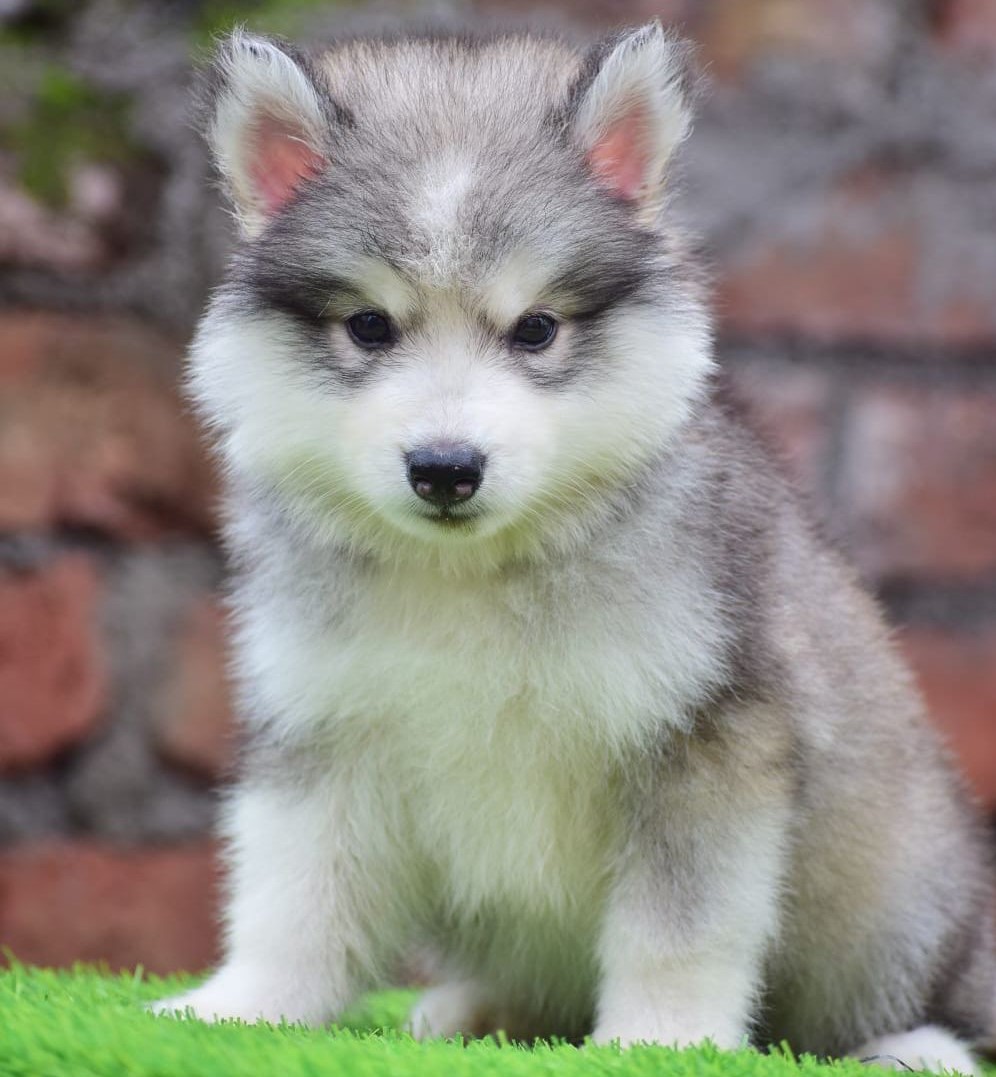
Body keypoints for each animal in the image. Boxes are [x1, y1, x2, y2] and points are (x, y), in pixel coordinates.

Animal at [151, 21, 990, 1072]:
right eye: (370, 326)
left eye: (537, 329)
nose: (445, 467)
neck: (472, 572)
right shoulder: (322, 727)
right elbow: (292, 895)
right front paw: (241, 1007)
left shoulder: (706, 741)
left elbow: (680, 927)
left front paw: (661, 1041)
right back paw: (474, 1009)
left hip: (898, 899)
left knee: (914, 1003)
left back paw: (915, 1043)